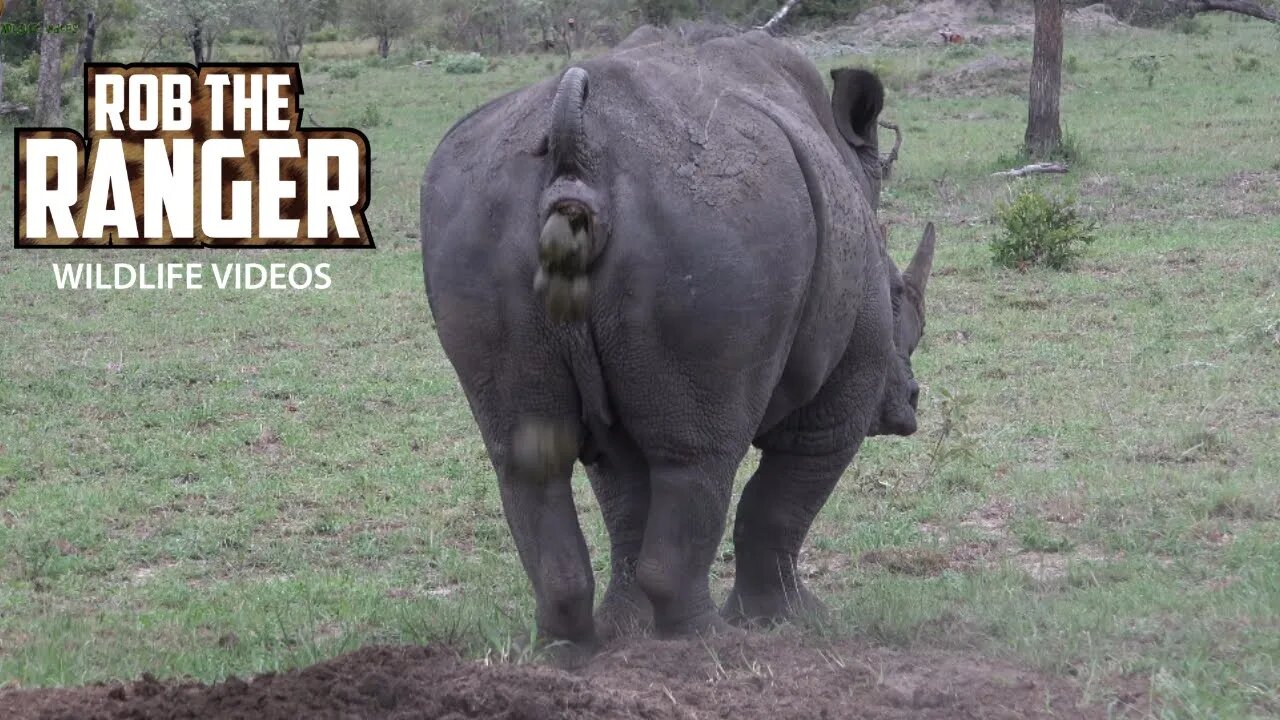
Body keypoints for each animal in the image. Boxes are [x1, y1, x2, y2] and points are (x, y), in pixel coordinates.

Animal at [419, 26, 931, 650]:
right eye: (899, 299)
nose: (909, 406)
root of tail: (576, 147)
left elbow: (626, 500)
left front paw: (631, 629)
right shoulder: (842, 390)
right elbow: (782, 498)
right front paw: (793, 620)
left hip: (475, 217)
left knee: (529, 461)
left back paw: (570, 649)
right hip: (717, 225)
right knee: (700, 457)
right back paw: (708, 643)